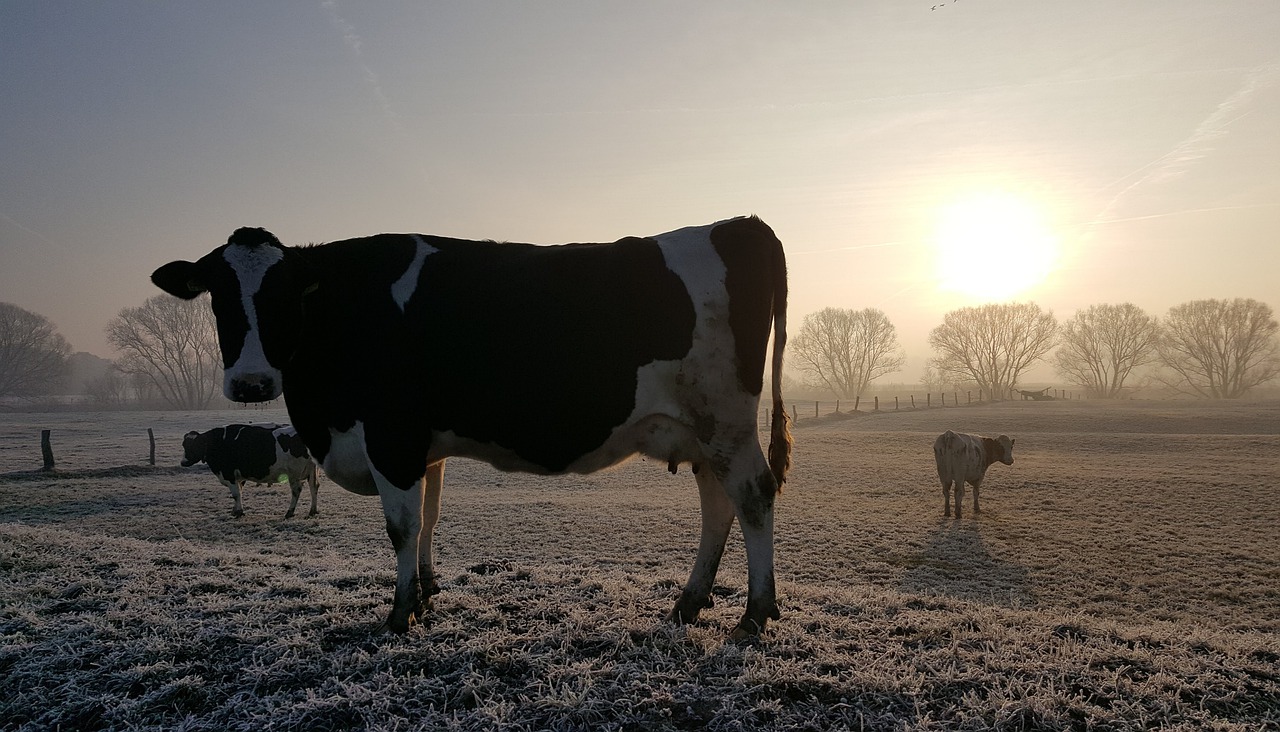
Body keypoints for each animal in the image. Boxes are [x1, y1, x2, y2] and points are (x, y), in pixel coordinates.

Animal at [181, 424, 320, 519]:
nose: (183, 462)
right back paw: (312, 511)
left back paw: (290, 512)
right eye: (184, 445)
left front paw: (238, 512)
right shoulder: (238, 476)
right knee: (314, 487)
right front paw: (234, 510)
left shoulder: (229, 474)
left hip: (293, 474)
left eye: (195, 445)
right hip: (311, 471)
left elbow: (236, 494)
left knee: (296, 490)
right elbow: (239, 492)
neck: (218, 443)